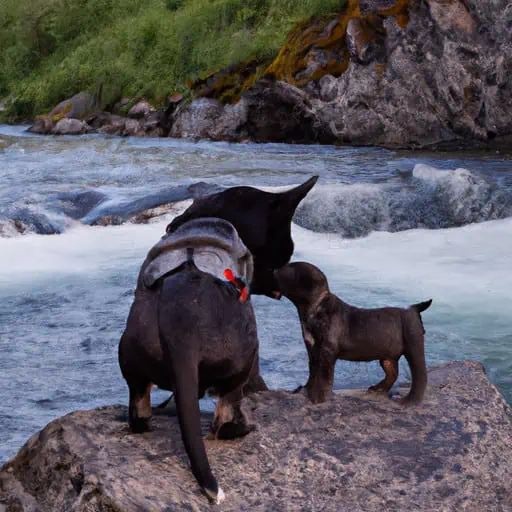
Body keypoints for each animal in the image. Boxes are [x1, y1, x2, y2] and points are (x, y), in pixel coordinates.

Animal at [272, 262, 432, 406]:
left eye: (288, 269)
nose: (274, 270)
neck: (315, 308)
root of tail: (414, 309)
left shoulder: (327, 351)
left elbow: (323, 377)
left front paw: (318, 399)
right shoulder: (312, 349)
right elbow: (312, 373)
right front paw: (305, 390)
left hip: (414, 344)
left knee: (419, 377)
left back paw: (408, 401)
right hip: (387, 357)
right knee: (392, 373)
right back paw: (377, 389)